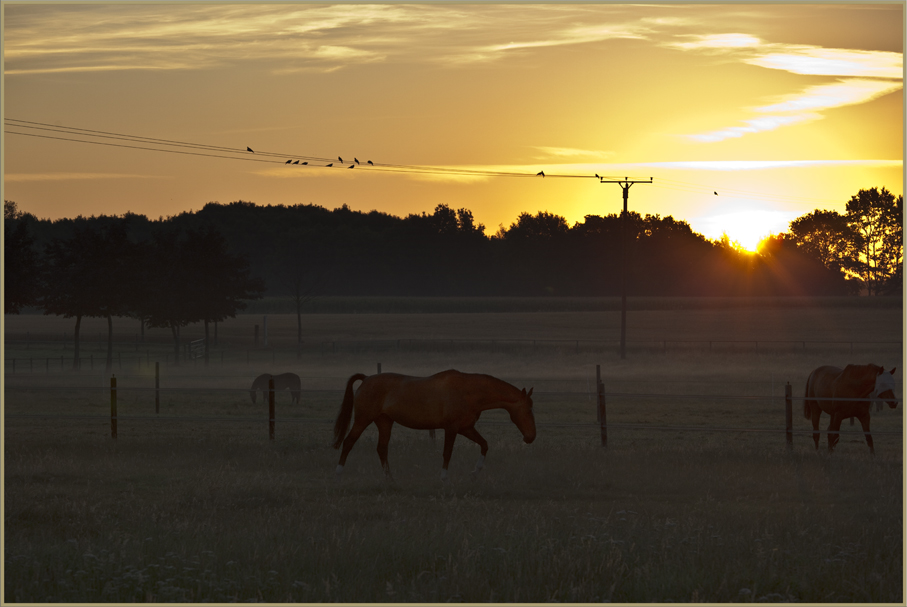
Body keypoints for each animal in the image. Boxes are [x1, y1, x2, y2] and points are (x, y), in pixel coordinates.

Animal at [334, 370, 536, 480]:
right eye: (528, 410)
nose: (531, 437)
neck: (469, 392)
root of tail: (366, 378)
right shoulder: (451, 429)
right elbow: (447, 453)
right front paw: (444, 479)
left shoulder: (466, 428)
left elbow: (484, 445)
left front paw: (474, 473)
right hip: (362, 419)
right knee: (348, 442)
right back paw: (338, 475)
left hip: (384, 422)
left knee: (382, 449)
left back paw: (390, 480)